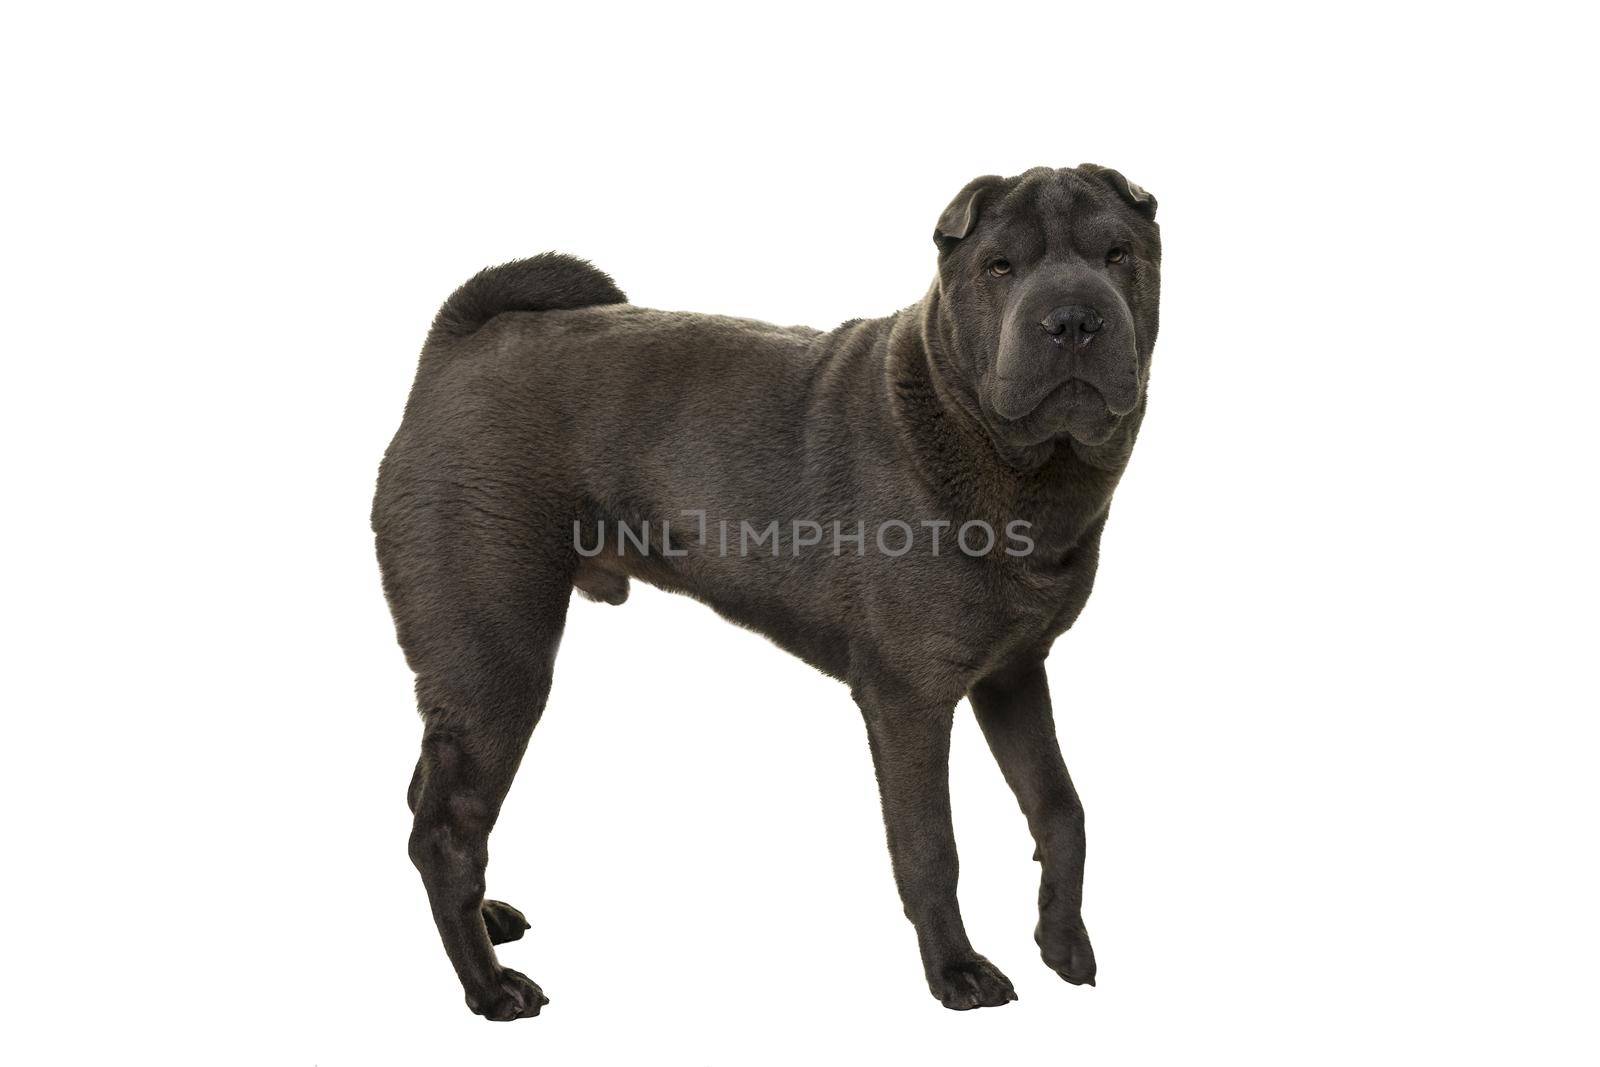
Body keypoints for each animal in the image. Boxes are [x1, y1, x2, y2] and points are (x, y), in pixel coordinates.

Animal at [374, 163, 1164, 1023]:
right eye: (999, 267)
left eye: (1118, 254)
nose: (1074, 320)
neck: (1011, 463)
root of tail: (457, 342)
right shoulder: (910, 700)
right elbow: (931, 846)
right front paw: (956, 971)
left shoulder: (1013, 674)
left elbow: (1060, 806)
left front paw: (1064, 942)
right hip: (500, 660)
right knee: (449, 828)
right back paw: (489, 985)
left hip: (474, 675)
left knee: (427, 798)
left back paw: (485, 922)